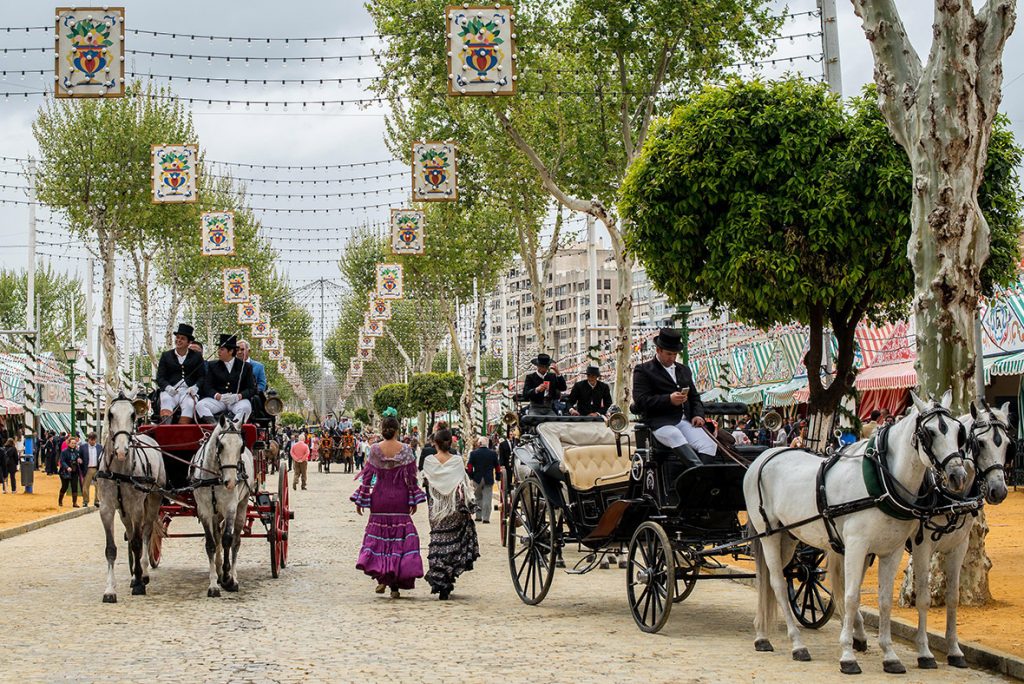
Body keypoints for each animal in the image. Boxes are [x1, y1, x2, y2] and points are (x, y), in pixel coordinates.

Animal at [97, 387, 167, 602]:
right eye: (110, 415)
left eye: (133, 415)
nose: (121, 450)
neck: (120, 471)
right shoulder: (107, 509)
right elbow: (111, 549)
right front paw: (109, 590)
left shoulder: (137, 507)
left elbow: (137, 543)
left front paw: (138, 583)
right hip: (124, 511)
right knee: (131, 531)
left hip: (152, 500)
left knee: (145, 533)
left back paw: (142, 574)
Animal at [192, 413, 254, 593]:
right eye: (220, 445)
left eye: (241, 447)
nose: (231, 482)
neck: (214, 477)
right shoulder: (204, 510)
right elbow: (211, 544)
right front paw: (213, 584)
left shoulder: (230, 507)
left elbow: (228, 539)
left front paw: (228, 578)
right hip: (215, 513)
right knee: (217, 535)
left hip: (242, 505)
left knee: (236, 541)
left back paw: (233, 576)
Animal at [745, 389, 966, 671]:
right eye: (929, 433)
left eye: (958, 432)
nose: (958, 476)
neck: (882, 483)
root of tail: (762, 458)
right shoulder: (856, 546)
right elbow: (851, 597)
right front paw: (848, 655)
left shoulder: (892, 551)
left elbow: (884, 600)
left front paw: (889, 655)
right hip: (769, 535)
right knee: (778, 584)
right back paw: (797, 644)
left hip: (788, 537)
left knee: (768, 580)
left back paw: (761, 635)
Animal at [909, 397, 1011, 671]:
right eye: (980, 443)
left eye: (1008, 445)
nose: (999, 491)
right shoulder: (922, 548)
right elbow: (924, 598)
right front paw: (924, 652)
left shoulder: (958, 547)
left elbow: (953, 597)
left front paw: (954, 651)